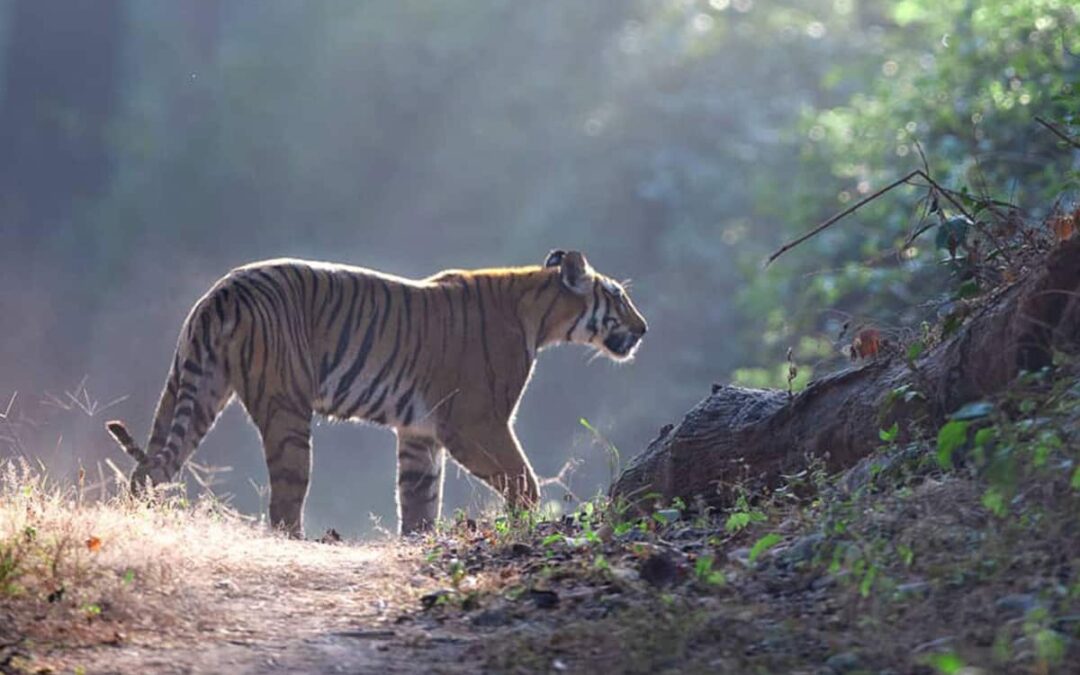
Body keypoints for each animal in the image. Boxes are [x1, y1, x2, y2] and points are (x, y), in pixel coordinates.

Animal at [105, 249, 647, 536]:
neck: (538, 311)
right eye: (619, 296)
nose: (644, 329)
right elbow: (522, 480)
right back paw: (300, 543)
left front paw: (418, 540)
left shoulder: (420, 432)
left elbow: (420, 497)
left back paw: (135, 520)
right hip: (286, 410)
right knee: (285, 497)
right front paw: (524, 524)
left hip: (191, 386)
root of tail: (223, 290)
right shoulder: (475, 423)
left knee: (149, 468)